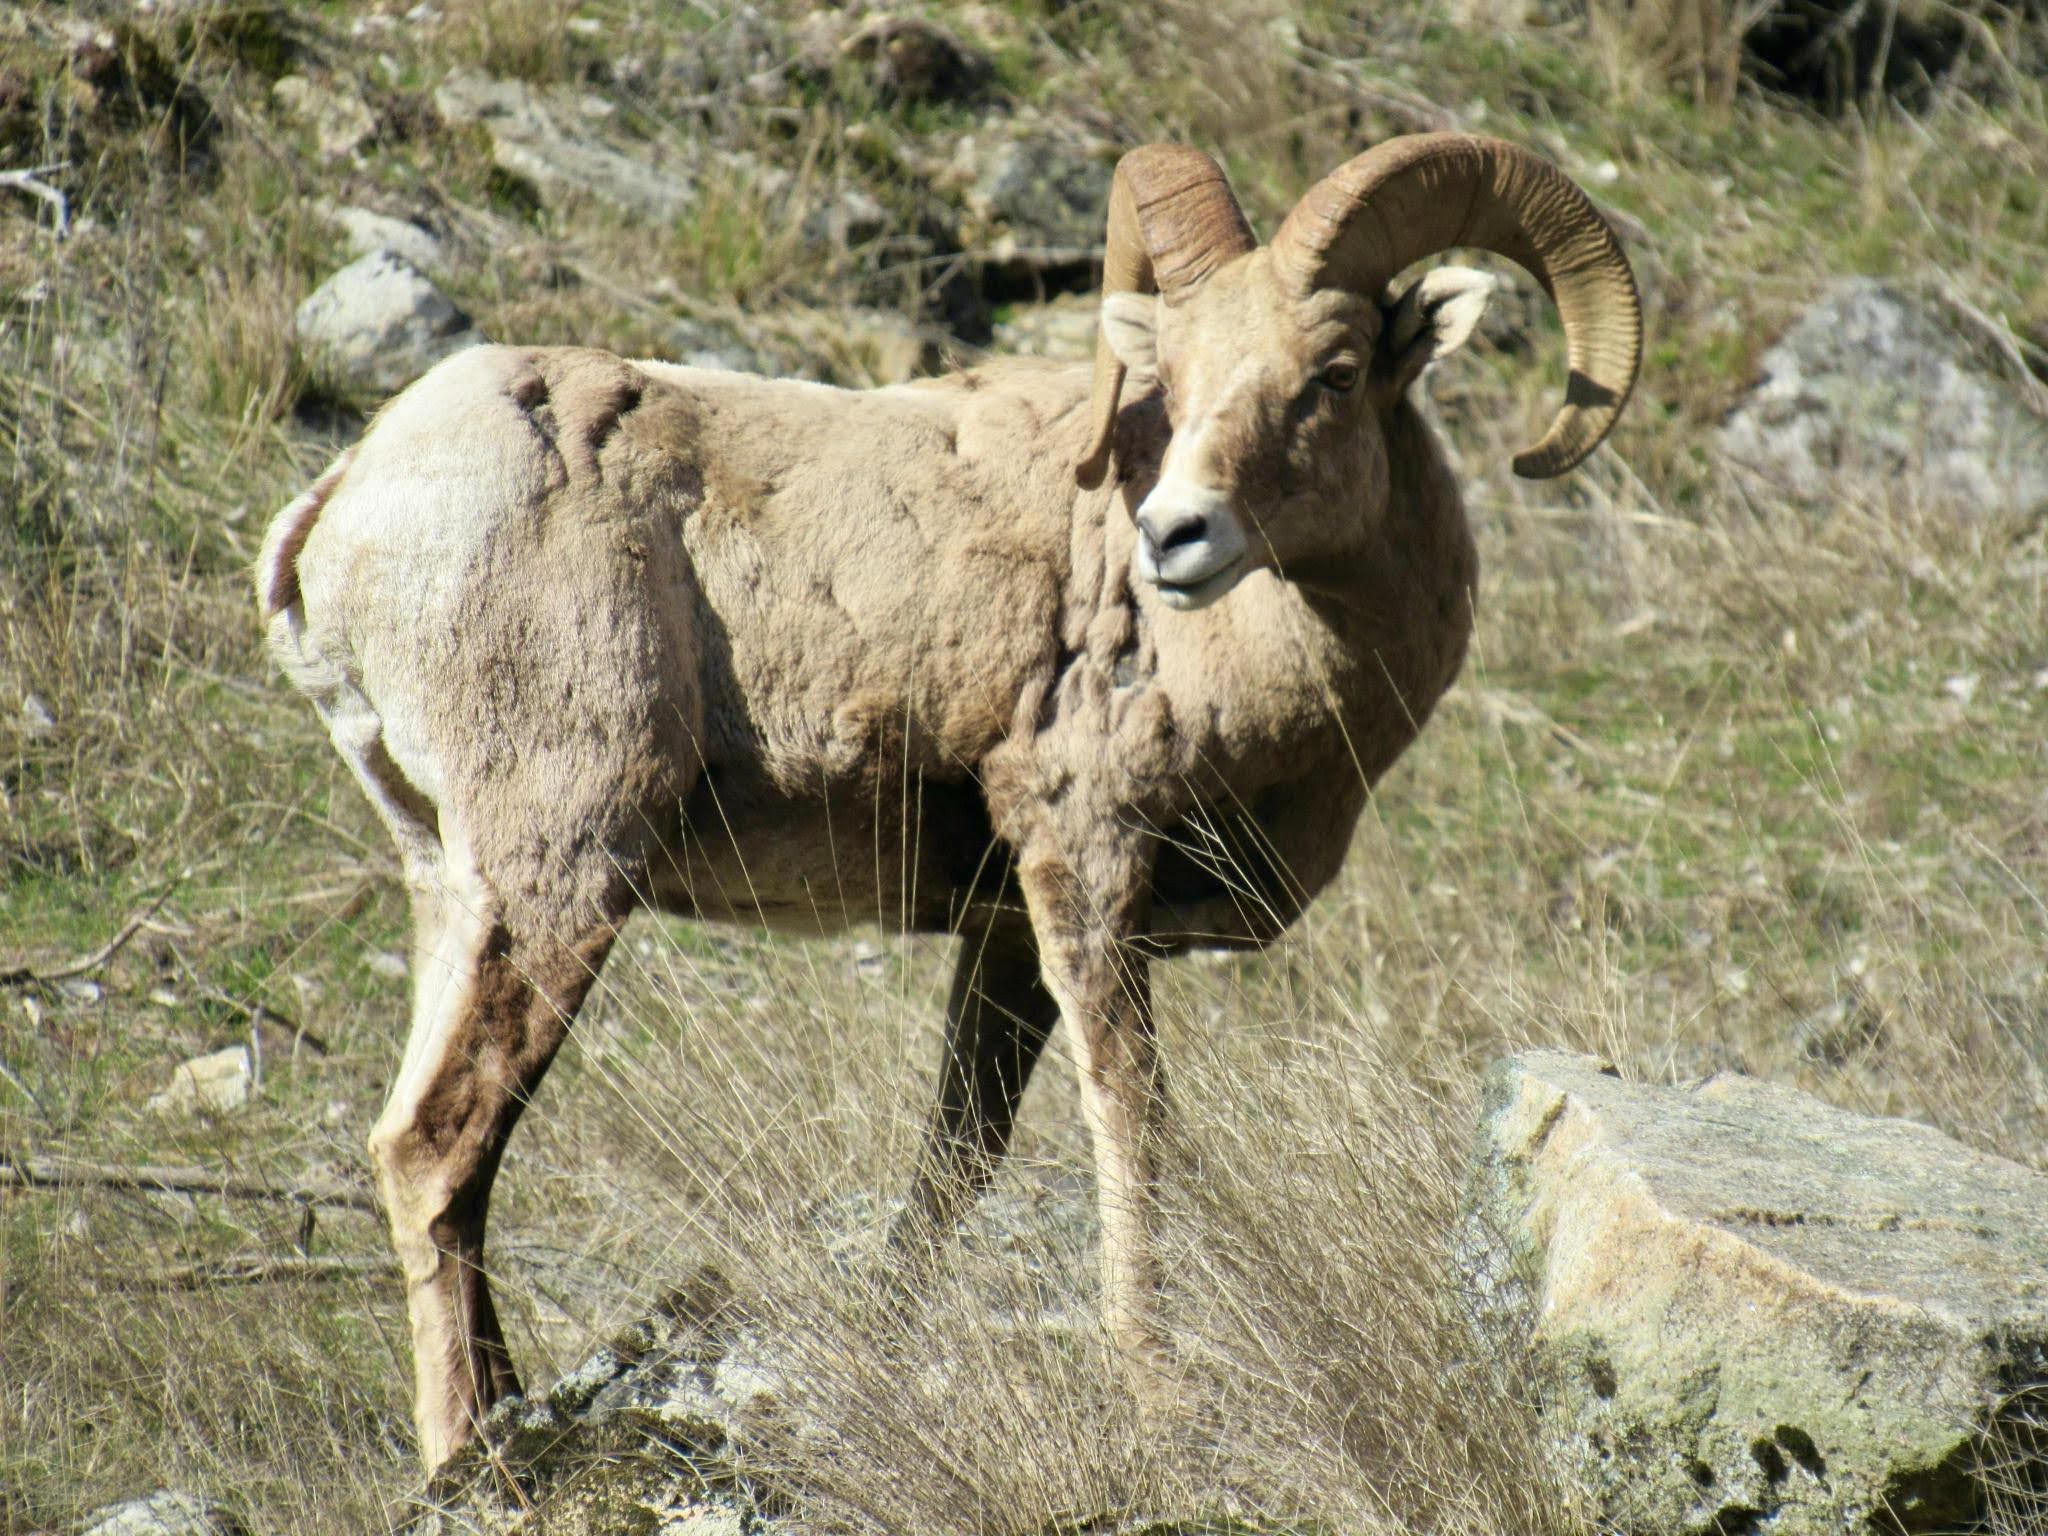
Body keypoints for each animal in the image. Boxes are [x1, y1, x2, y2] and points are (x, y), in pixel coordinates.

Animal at [257, 132, 1640, 1469]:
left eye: (1337, 371)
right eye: (1177, 378)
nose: (1173, 537)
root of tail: (344, 506)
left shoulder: (1001, 939)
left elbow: (954, 1167)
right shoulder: (1084, 872)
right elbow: (1129, 1123)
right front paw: (1156, 1395)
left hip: (453, 889)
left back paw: (502, 1416)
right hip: (561, 877)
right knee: (436, 1145)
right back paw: (465, 1451)